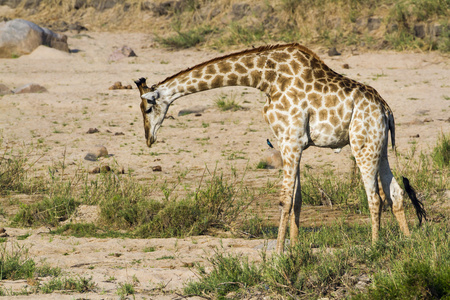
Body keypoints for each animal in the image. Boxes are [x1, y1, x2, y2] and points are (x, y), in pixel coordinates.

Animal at [134, 42, 426, 253]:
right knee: (395, 193)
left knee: (375, 197)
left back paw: (375, 247)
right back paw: (408, 243)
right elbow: (296, 199)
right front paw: (294, 248)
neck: (265, 78)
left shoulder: (291, 139)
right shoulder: (293, 143)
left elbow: (285, 198)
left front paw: (277, 251)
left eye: (147, 108)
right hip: (380, 146)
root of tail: (386, 109)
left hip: (362, 145)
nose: (149, 139)